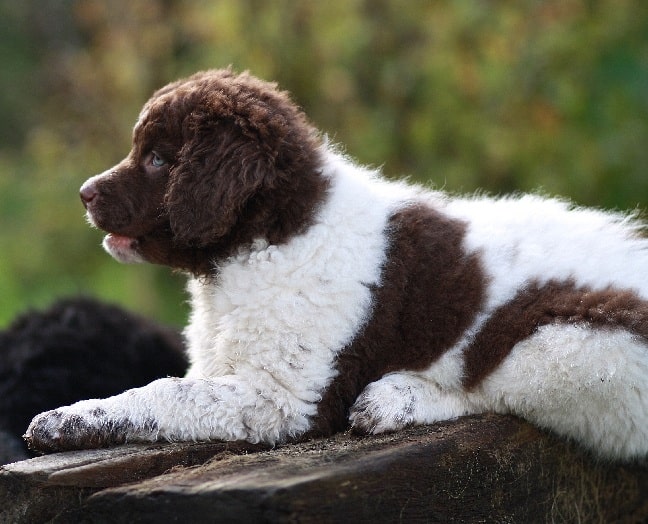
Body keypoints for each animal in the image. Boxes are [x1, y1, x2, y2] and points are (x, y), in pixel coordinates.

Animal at [25, 68, 648, 458]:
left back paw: (395, 399)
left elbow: (163, 393)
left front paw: (64, 420)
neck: (276, 237)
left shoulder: (281, 396)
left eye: (157, 159)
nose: (84, 193)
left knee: (495, 387)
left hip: (565, 345)